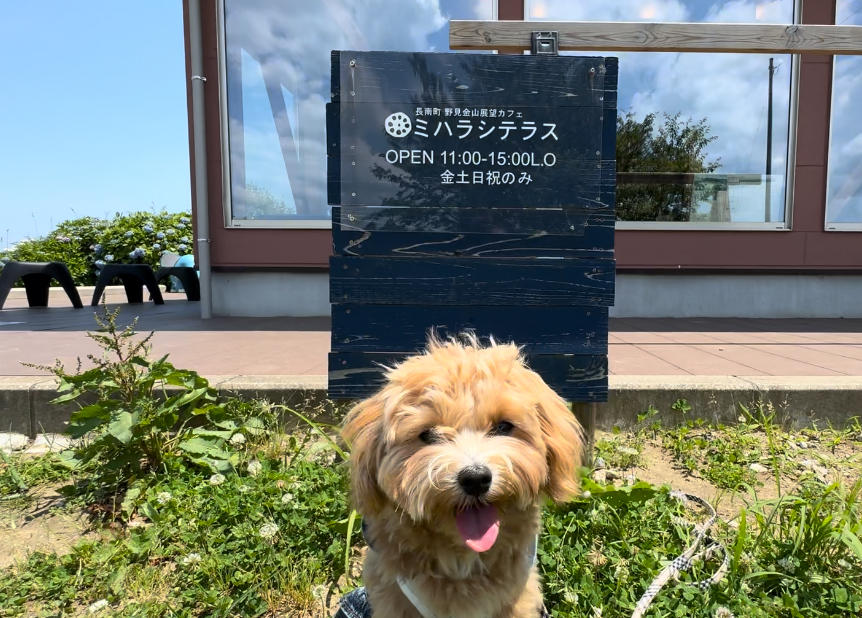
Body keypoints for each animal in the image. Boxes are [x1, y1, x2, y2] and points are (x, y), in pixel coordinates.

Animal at [340, 334, 584, 616]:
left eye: (503, 426)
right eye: (428, 434)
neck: (464, 557)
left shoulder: (518, 598)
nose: (475, 479)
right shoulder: (393, 597)